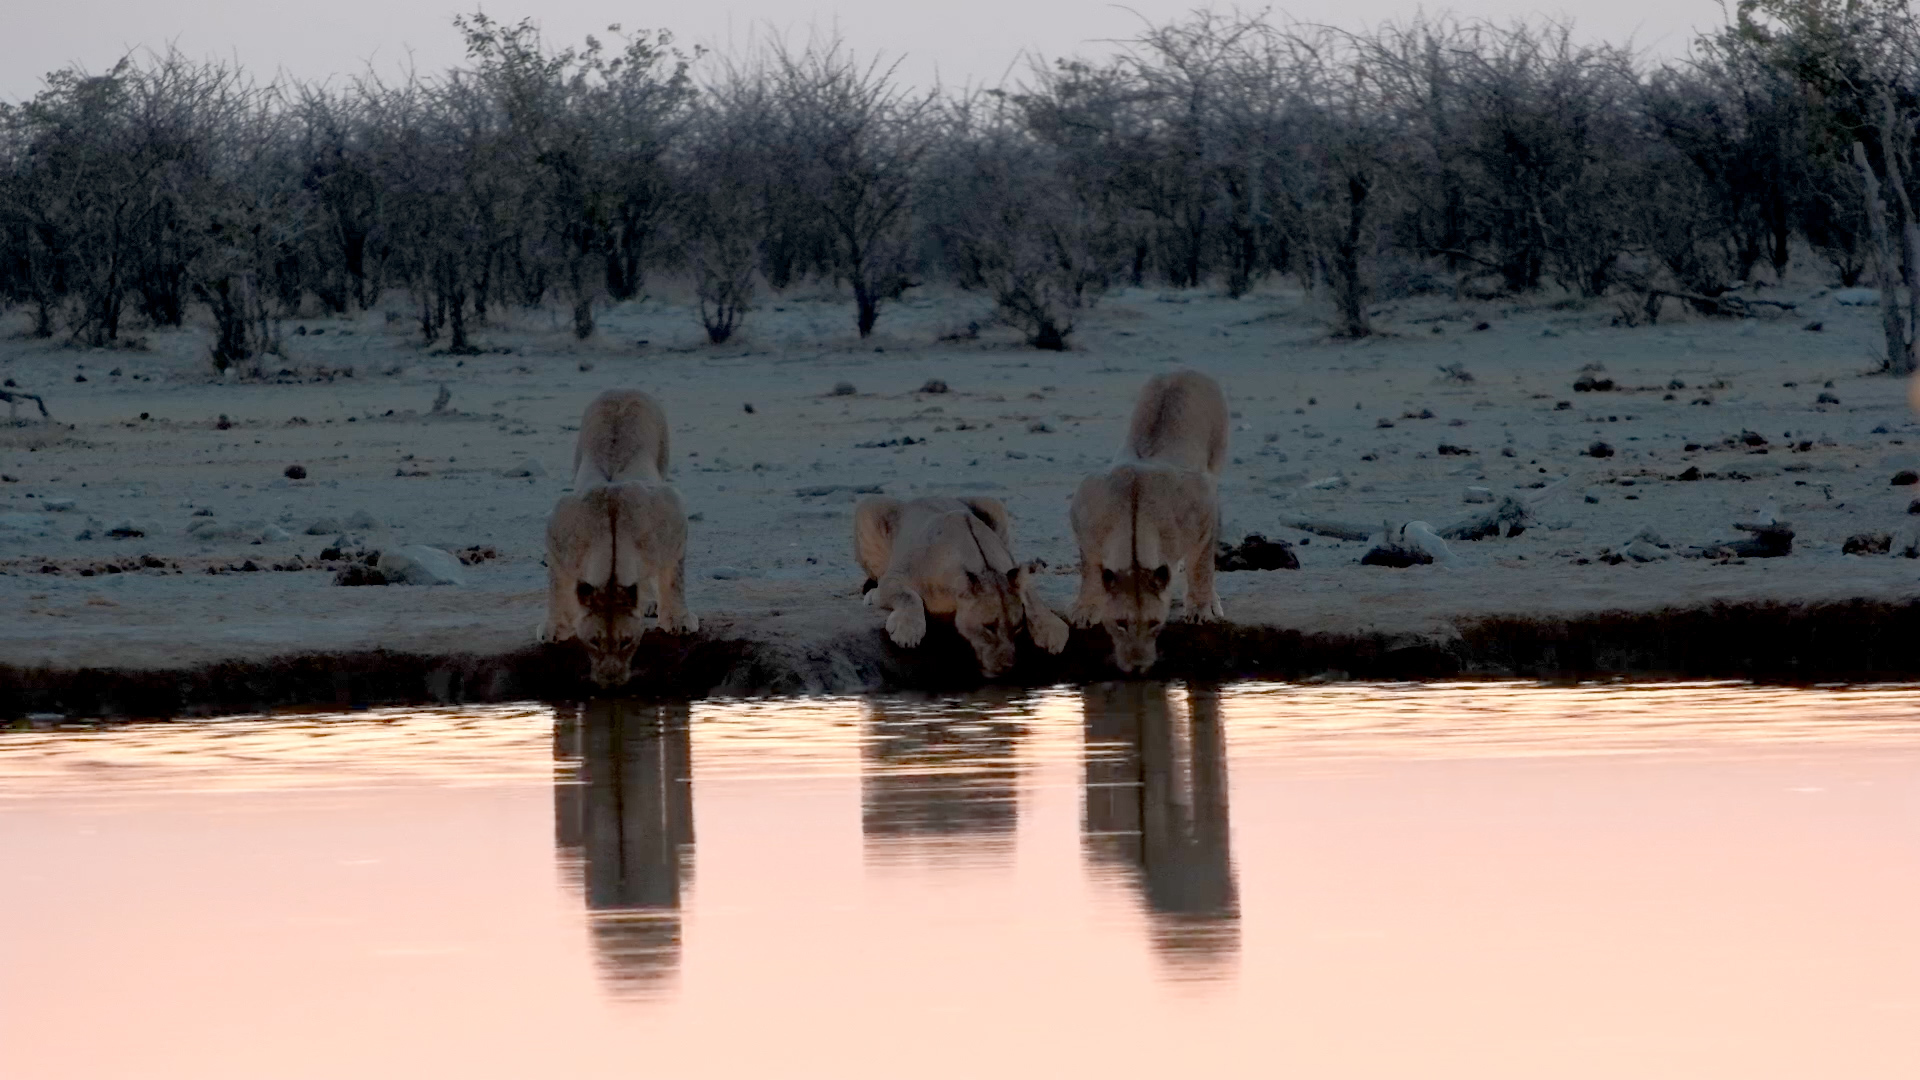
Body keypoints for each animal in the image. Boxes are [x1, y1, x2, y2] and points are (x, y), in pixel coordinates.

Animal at [540, 390, 697, 688]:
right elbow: (556, 587)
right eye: (593, 641)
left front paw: (679, 621)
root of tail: (622, 391)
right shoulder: (558, 532)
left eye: (627, 641)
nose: (610, 681)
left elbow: (675, 580)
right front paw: (554, 629)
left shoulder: (674, 516)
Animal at [854, 495, 1070, 677]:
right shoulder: (895, 576)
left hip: (993, 503)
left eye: (1017, 628)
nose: (1009, 666)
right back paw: (871, 595)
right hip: (868, 506)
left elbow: (1032, 595)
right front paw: (907, 631)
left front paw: (1052, 631)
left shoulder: (1010, 566)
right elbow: (908, 596)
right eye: (988, 627)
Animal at [1069, 370, 1228, 673]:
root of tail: (1183, 370)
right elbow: (1089, 571)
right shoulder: (1082, 517)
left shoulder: (1205, 510)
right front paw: (1084, 610)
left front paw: (1202, 608)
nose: (1137, 667)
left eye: (1155, 624)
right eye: (1120, 623)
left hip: (1215, 461)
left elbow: (1202, 567)